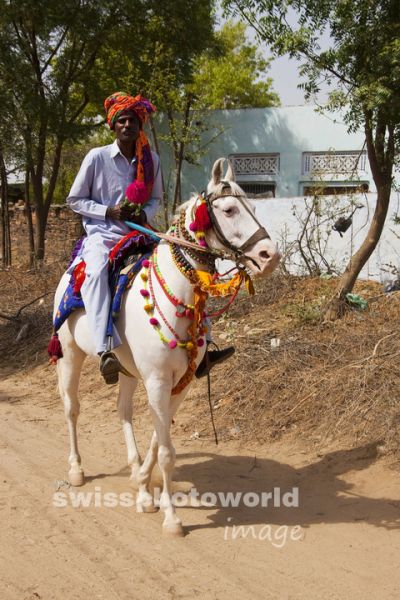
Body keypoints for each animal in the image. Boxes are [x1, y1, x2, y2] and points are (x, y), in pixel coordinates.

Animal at [54, 158, 280, 536]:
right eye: (229, 209)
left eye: (252, 205)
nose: (269, 256)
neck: (182, 294)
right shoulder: (158, 381)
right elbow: (166, 451)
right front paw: (172, 518)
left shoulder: (180, 383)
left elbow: (160, 440)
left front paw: (145, 487)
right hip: (70, 355)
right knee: (71, 408)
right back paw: (75, 469)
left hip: (127, 370)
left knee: (123, 411)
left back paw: (134, 472)